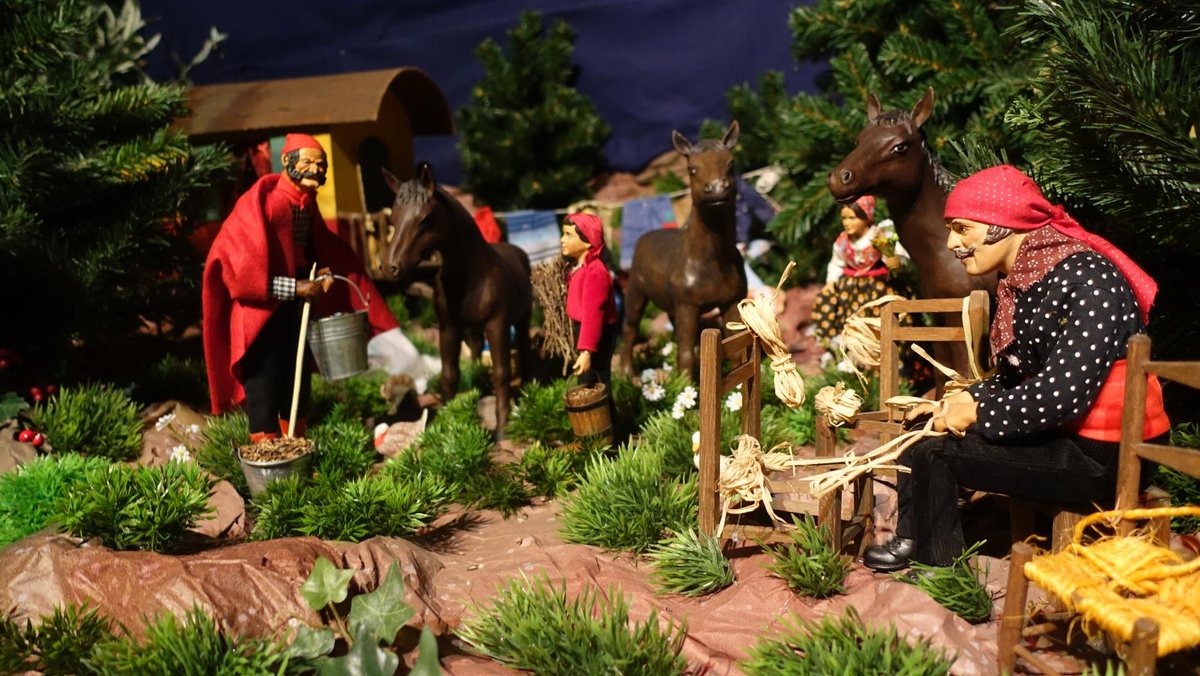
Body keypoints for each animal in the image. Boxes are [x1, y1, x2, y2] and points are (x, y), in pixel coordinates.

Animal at [379, 166, 530, 437]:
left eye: (425, 219)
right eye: (393, 218)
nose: (389, 268)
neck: (470, 276)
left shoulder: (498, 325)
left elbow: (501, 373)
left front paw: (502, 430)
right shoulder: (448, 328)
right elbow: (449, 374)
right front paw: (446, 425)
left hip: (522, 319)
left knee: (523, 349)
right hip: (471, 330)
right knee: (475, 352)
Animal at [624, 121, 744, 374]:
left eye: (731, 163)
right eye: (692, 168)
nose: (716, 188)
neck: (712, 261)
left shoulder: (731, 301)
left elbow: (736, 351)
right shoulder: (687, 305)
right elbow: (686, 353)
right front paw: (685, 382)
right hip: (636, 291)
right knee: (629, 328)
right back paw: (628, 374)